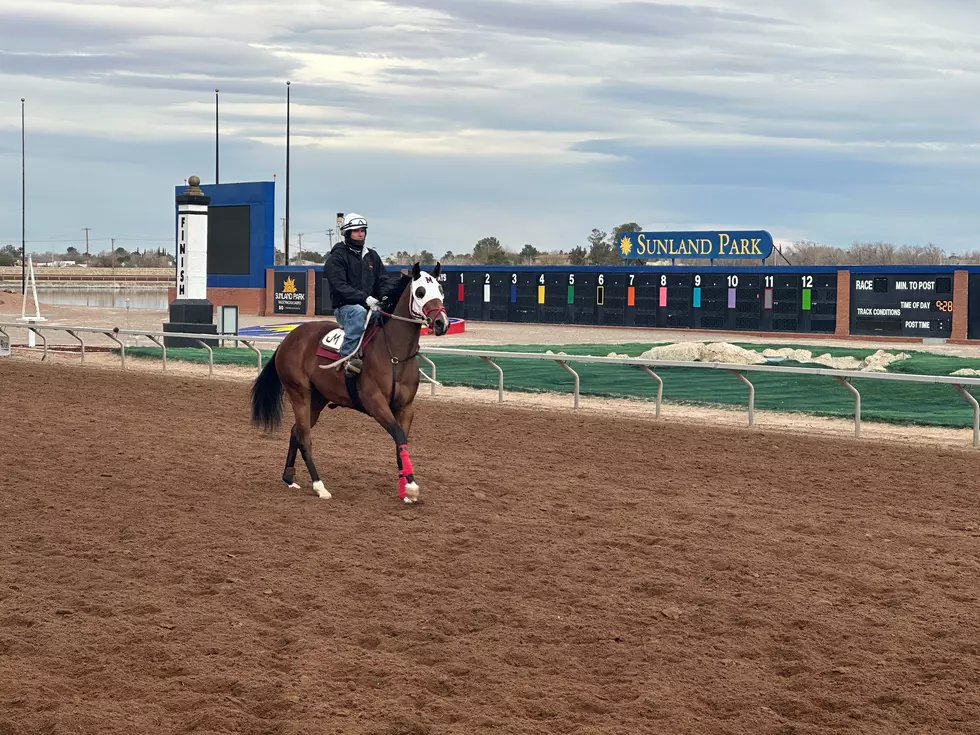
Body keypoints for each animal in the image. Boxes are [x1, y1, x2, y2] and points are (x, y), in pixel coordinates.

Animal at [253, 262, 452, 504]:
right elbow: (398, 435)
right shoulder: (375, 402)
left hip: (318, 399)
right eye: (420, 292)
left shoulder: (405, 408)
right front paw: (412, 487)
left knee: (296, 432)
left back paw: (289, 478)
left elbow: (400, 442)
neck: (394, 354)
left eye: (440, 290)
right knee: (305, 438)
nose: (442, 322)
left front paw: (405, 489)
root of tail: (288, 339)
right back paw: (319, 486)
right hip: (299, 394)